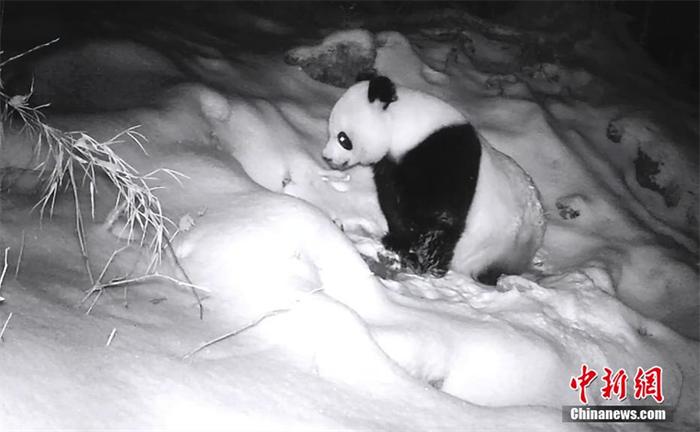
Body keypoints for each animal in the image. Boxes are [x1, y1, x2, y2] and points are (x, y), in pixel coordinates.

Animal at [322, 75, 548, 284]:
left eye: (343, 138)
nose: (327, 157)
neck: (404, 127)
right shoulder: (393, 166)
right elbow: (392, 203)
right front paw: (398, 243)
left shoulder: (444, 157)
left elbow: (442, 219)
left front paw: (427, 266)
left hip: (502, 246)